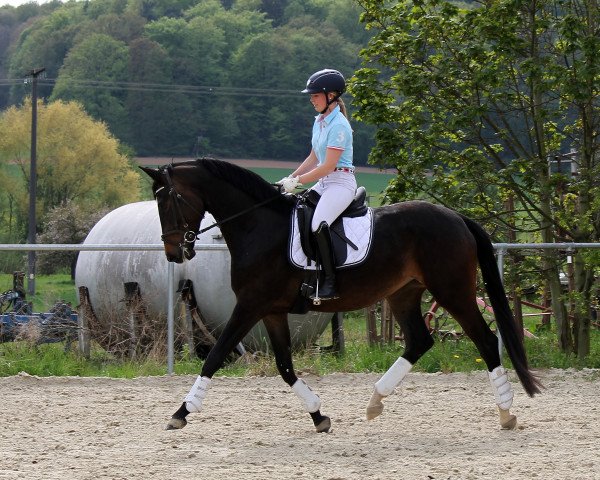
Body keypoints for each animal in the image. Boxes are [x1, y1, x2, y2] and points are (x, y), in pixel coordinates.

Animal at [143, 159, 540, 434]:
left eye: (169, 202)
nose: (174, 254)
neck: (257, 226)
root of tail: (457, 218)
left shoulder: (250, 306)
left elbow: (215, 357)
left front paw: (180, 414)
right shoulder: (271, 311)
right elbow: (284, 366)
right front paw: (319, 416)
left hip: (452, 291)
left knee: (485, 340)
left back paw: (506, 413)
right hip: (403, 294)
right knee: (419, 341)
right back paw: (375, 402)